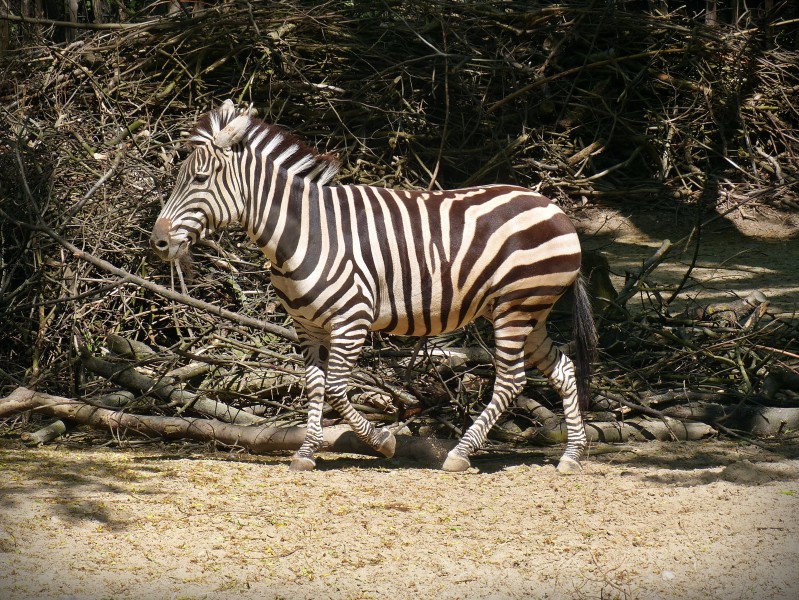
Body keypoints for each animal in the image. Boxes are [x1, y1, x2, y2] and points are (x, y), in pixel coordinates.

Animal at [152, 99, 600, 474]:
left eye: (199, 178)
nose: (157, 242)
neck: (301, 233)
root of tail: (554, 208)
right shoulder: (307, 327)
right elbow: (315, 386)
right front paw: (306, 453)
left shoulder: (351, 320)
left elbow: (335, 389)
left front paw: (382, 441)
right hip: (528, 311)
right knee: (563, 370)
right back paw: (571, 456)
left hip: (516, 305)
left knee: (511, 381)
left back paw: (459, 455)